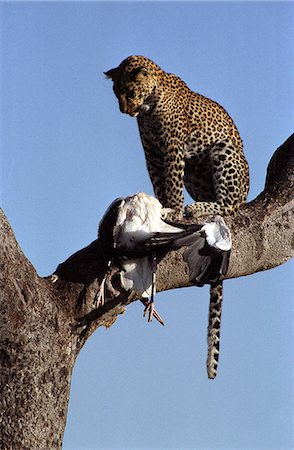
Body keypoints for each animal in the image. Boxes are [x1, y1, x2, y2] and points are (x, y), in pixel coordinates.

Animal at [104, 56, 249, 380]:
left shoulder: (171, 148)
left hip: (223, 152)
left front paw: (170, 208)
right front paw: (164, 205)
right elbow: (159, 182)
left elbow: (170, 184)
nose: (123, 110)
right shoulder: (152, 153)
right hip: (196, 171)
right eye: (116, 93)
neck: (149, 108)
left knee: (230, 206)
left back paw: (197, 209)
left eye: (129, 92)